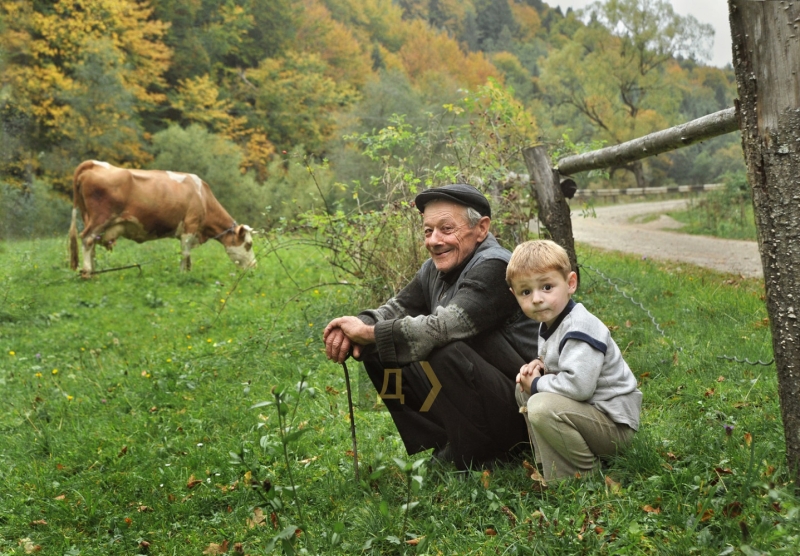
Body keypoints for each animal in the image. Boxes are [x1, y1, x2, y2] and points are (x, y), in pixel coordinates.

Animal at [70, 160, 256, 276]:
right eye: (249, 244)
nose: (254, 266)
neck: (203, 196)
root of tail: (94, 164)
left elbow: (187, 255)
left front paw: (188, 271)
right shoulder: (190, 226)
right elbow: (184, 253)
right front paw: (182, 274)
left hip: (90, 219)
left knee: (92, 244)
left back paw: (95, 272)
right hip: (100, 219)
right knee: (87, 239)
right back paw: (87, 272)